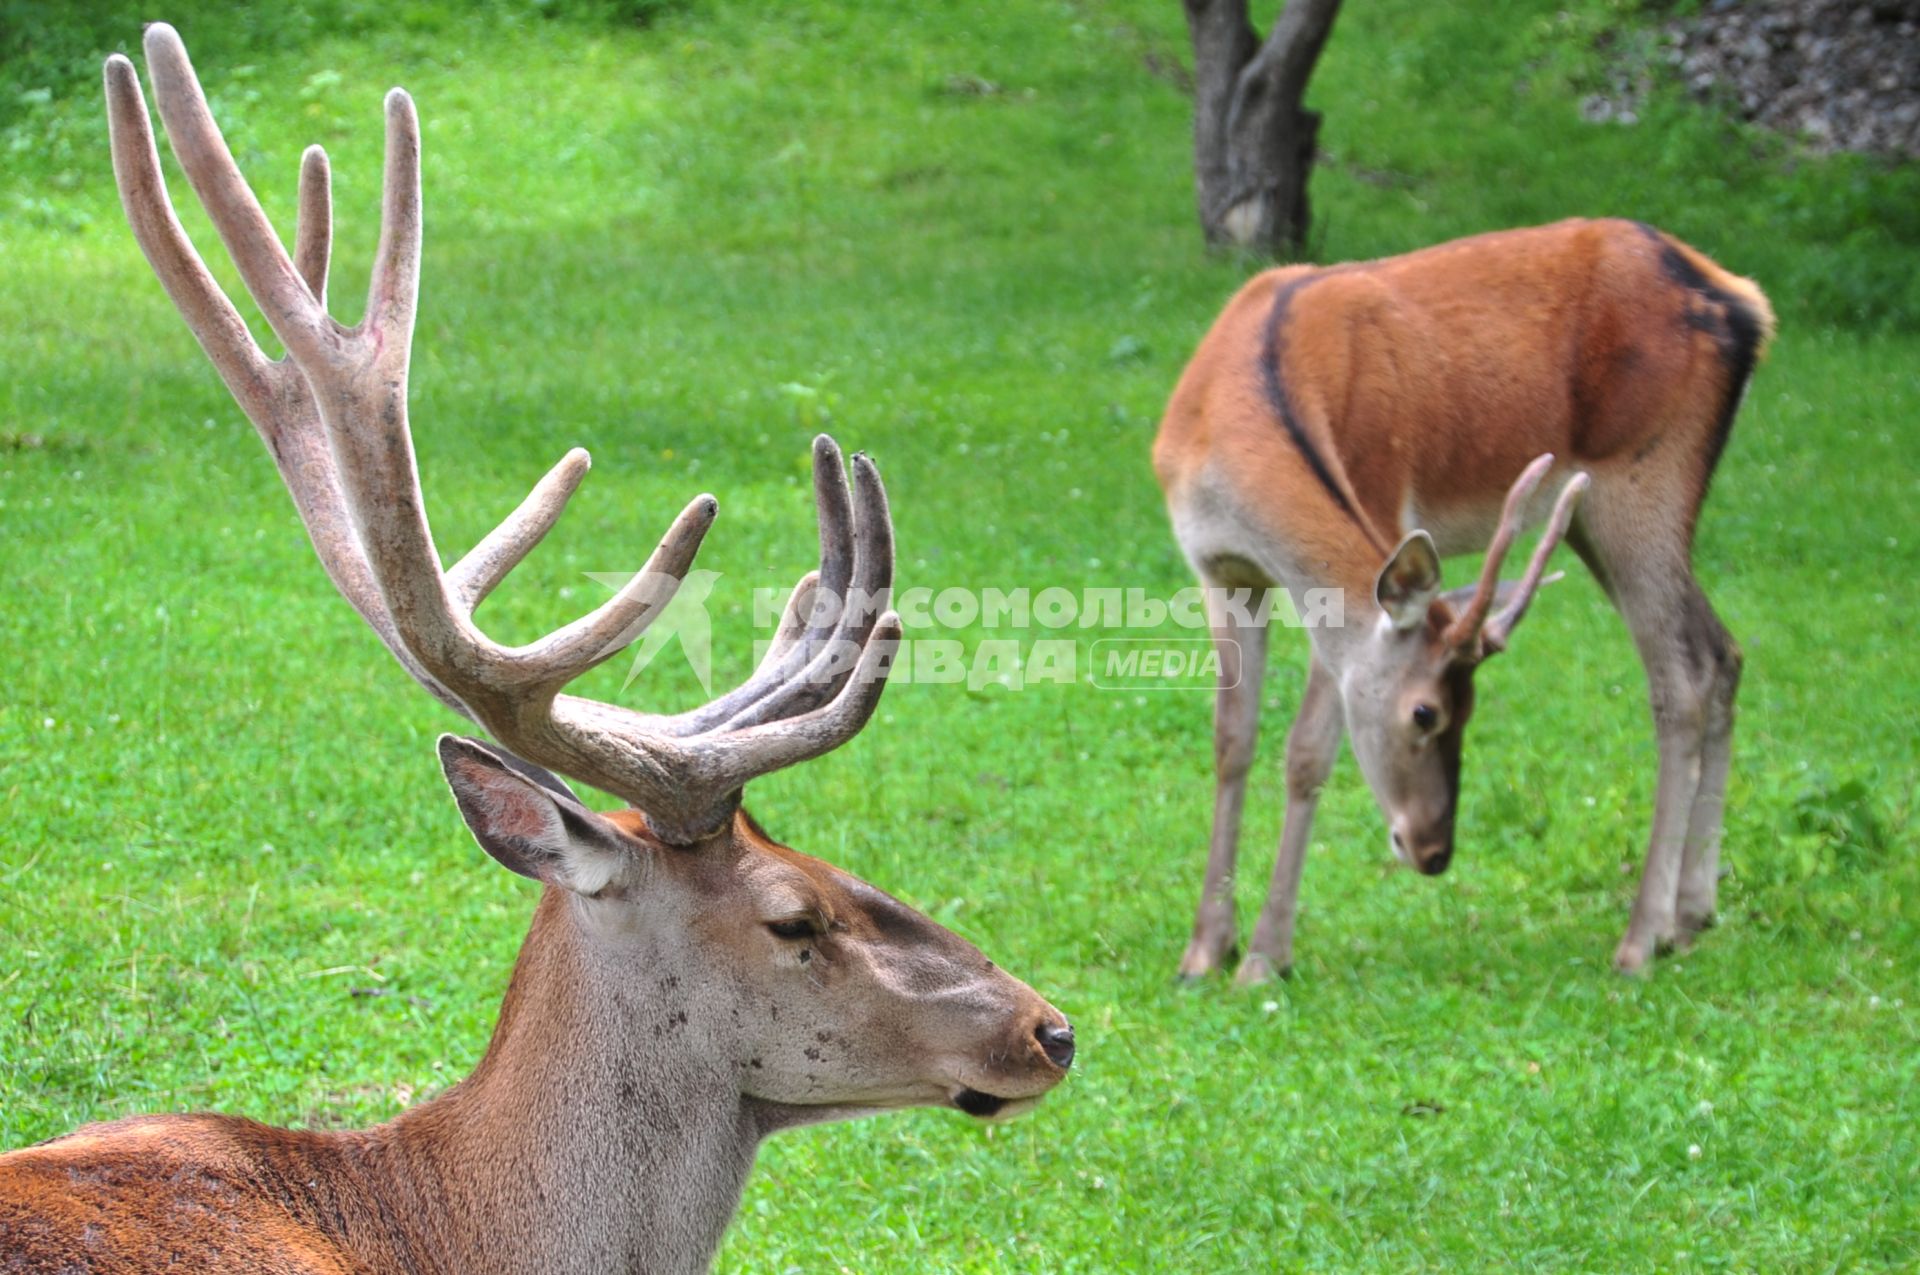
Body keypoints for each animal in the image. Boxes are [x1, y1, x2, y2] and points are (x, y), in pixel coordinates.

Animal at [1152, 218, 1766, 979]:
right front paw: (1205, 947)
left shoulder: (1378, 512)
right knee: (1722, 651)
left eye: (1452, 711)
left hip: (1647, 478)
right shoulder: (1220, 572)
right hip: (1597, 514)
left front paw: (1266, 955)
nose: (1435, 851)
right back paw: (1693, 913)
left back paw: (1639, 938)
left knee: (1680, 676)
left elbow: (1307, 753)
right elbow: (1232, 741)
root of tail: (1745, 305)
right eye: (1431, 712)